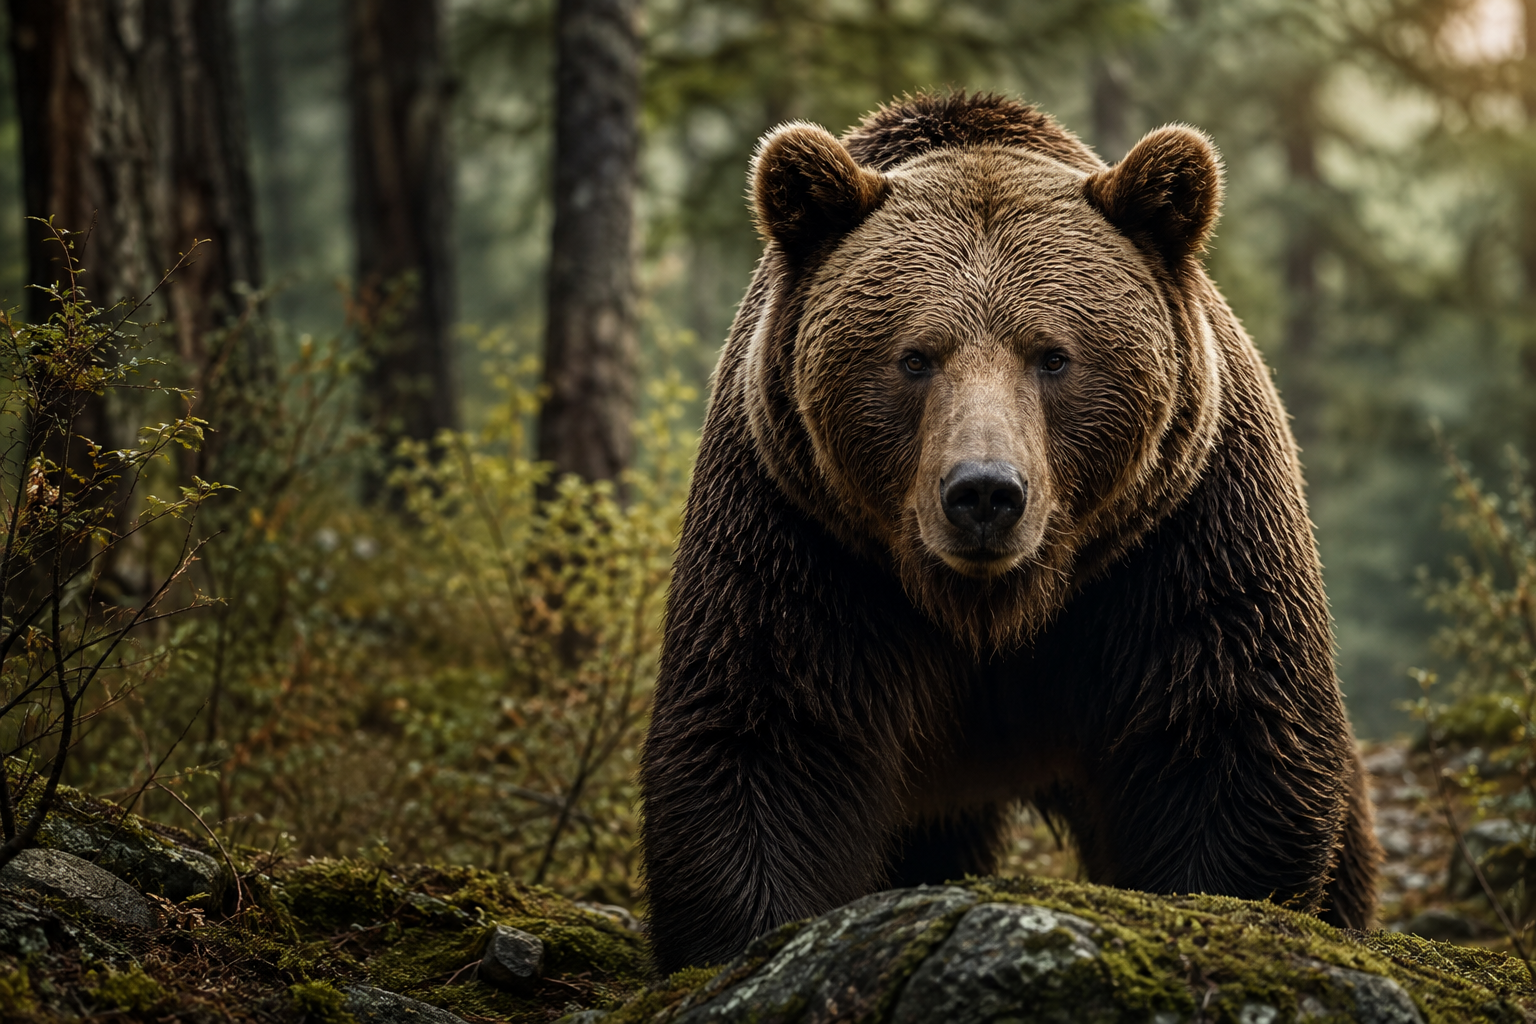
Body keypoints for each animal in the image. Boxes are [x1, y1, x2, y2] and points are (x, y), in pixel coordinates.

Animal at [639, 92, 1380, 974]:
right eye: (915, 357)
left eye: (1053, 355)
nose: (985, 494)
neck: (991, 606)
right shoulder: (799, 535)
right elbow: (768, 733)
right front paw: (754, 941)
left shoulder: (1182, 538)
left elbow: (1228, 733)